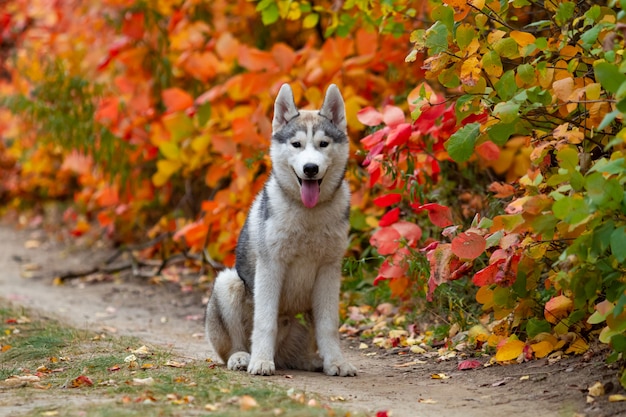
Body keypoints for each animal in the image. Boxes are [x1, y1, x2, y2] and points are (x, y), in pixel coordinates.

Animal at [202, 83, 354, 376]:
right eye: (296, 144)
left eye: (323, 144)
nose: (310, 168)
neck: (308, 215)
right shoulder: (271, 266)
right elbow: (265, 321)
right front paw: (261, 361)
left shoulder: (329, 269)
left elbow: (329, 326)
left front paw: (337, 362)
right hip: (228, 282)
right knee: (233, 346)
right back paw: (243, 357)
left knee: (299, 350)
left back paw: (311, 361)